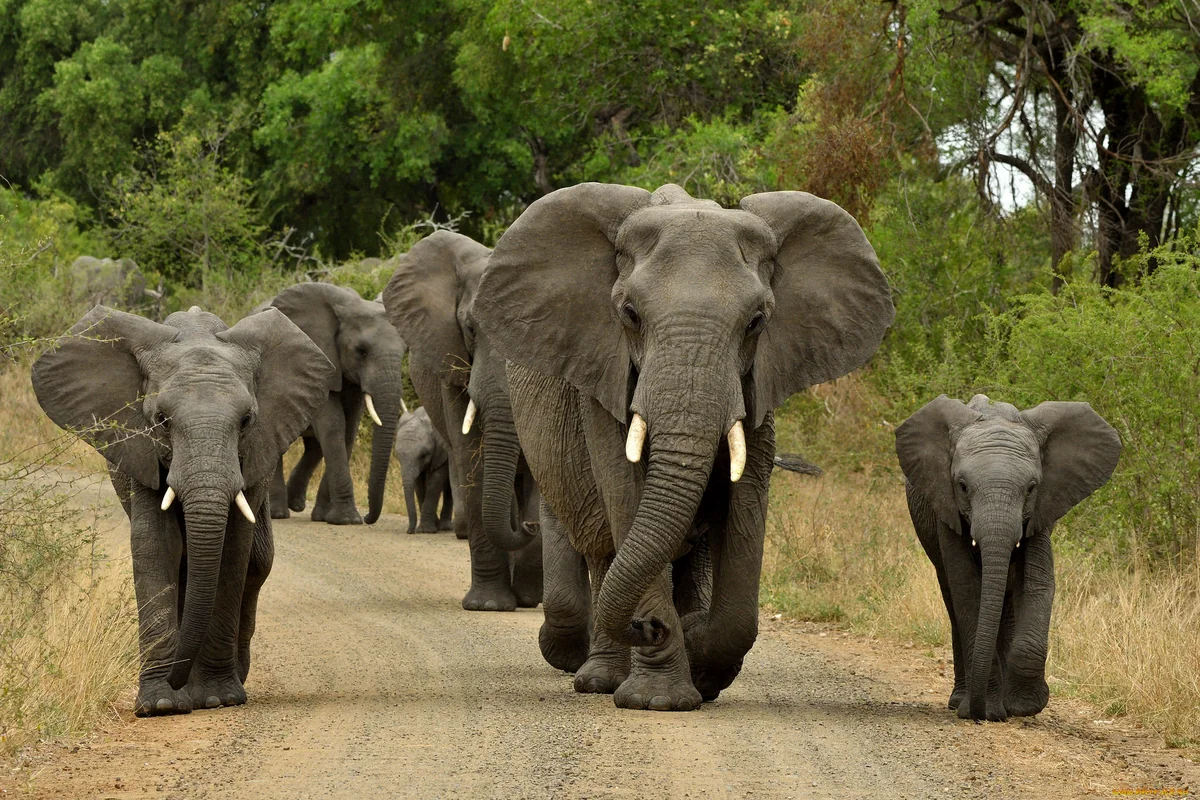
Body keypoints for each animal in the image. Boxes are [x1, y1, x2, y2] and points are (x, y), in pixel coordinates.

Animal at [31, 305, 333, 715]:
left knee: (258, 560)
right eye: (161, 420)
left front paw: (218, 698)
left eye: (247, 421)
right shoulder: (139, 448)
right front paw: (161, 704)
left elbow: (232, 552)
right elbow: (157, 546)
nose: (177, 678)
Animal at [264, 282, 408, 525]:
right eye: (361, 351)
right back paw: (278, 514)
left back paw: (296, 503)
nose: (368, 518)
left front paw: (326, 517)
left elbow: (347, 430)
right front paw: (347, 520)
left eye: (405, 350)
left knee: (314, 446)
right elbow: (333, 426)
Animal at [383, 230, 543, 611]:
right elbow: (473, 459)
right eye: (470, 329)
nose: (531, 526)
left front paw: (529, 598)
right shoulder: (451, 361)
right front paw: (489, 606)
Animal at [473, 182, 894, 710]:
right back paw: (603, 679)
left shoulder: (759, 384)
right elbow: (626, 493)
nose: (648, 626)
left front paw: (700, 658)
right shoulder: (603, 376)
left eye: (757, 322)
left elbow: (745, 511)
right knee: (603, 547)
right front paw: (658, 699)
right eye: (629, 314)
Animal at [895, 394, 1120, 721]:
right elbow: (967, 590)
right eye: (962, 486)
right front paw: (986, 710)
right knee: (953, 599)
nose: (977, 714)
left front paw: (1024, 706)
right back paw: (962, 700)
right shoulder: (946, 509)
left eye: (1031, 488)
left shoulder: (1042, 510)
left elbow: (1037, 583)